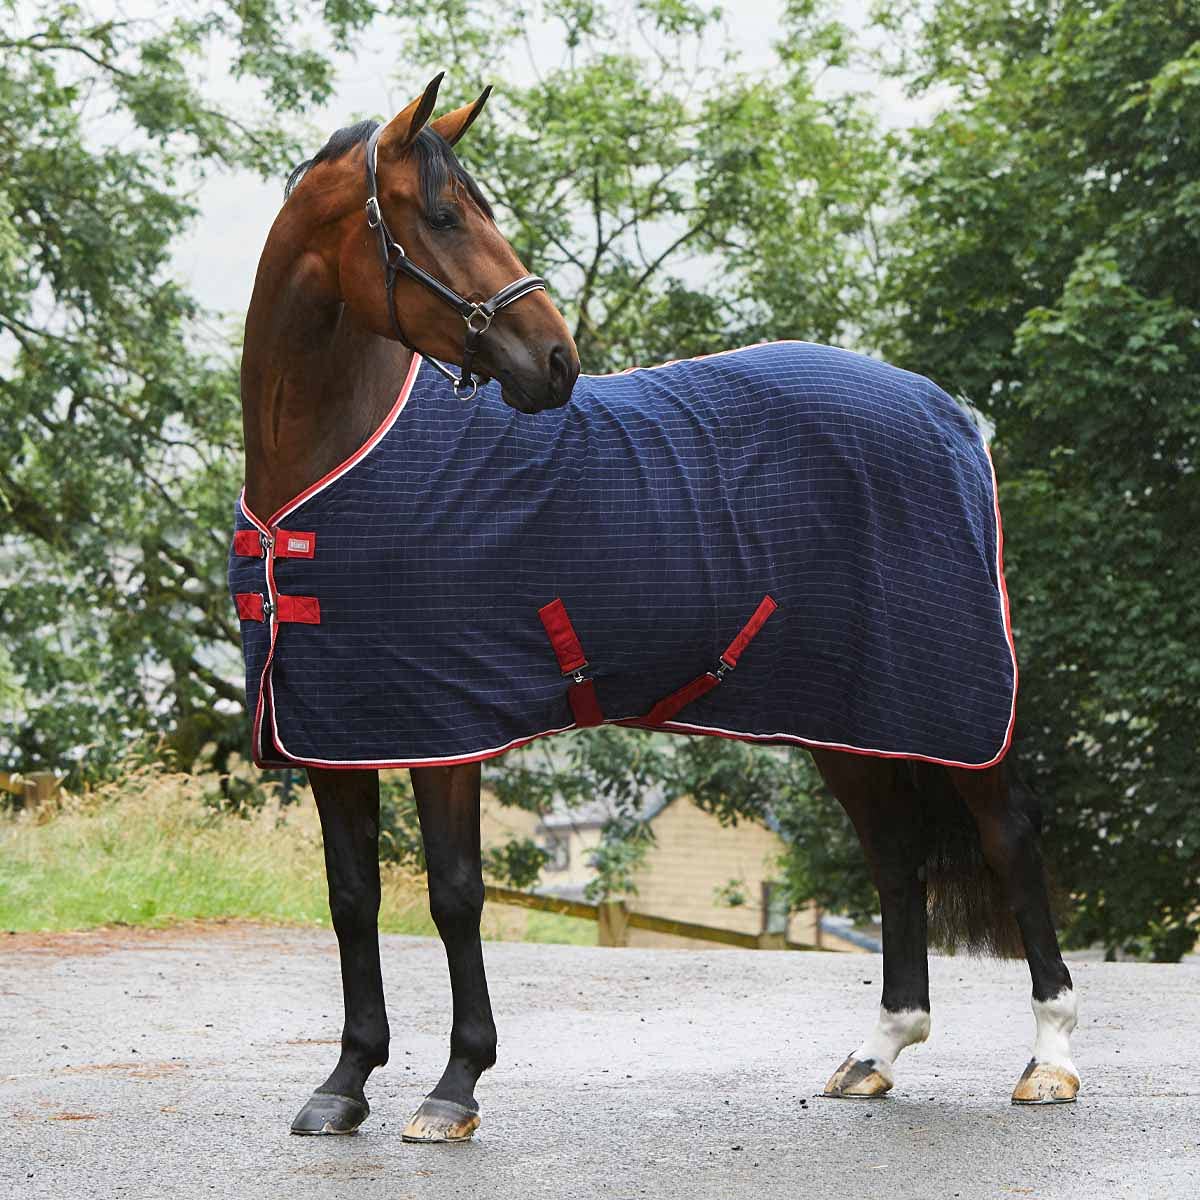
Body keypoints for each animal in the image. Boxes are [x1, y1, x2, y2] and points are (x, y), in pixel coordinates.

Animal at [237, 74, 1079, 1142]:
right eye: (444, 215)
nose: (557, 360)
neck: (334, 470)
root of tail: (952, 416)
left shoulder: (445, 726)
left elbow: (455, 895)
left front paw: (454, 1086)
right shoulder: (332, 728)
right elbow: (352, 897)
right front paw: (344, 1083)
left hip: (955, 702)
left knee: (1009, 840)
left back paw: (1050, 1059)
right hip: (851, 716)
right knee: (895, 859)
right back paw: (876, 1054)